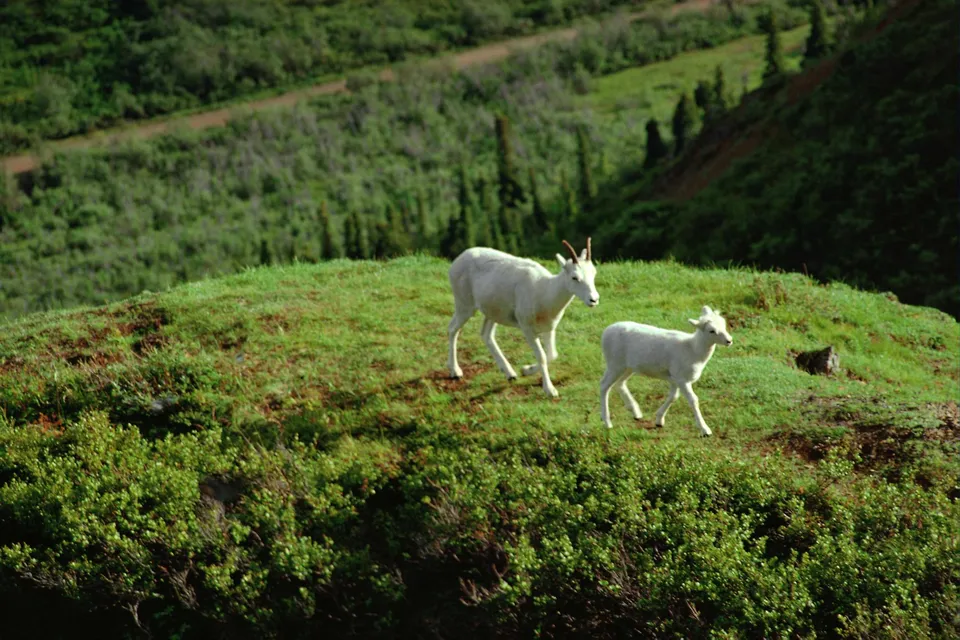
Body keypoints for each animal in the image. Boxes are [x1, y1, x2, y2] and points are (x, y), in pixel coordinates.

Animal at [447, 238, 599, 398]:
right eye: (574, 277)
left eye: (593, 272)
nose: (594, 300)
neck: (544, 291)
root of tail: (458, 260)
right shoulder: (527, 329)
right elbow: (542, 356)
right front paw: (550, 390)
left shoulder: (549, 328)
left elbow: (552, 354)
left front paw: (526, 370)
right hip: (465, 305)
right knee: (452, 329)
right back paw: (455, 371)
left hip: (493, 312)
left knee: (486, 334)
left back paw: (510, 374)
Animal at [599, 305, 733, 436]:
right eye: (712, 331)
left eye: (724, 324)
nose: (729, 340)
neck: (693, 350)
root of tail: (606, 331)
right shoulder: (682, 379)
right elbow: (693, 400)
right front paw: (705, 430)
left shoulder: (674, 378)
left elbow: (673, 397)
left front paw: (659, 420)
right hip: (614, 363)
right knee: (604, 385)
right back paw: (607, 422)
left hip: (627, 367)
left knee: (620, 383)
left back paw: (636, 412)